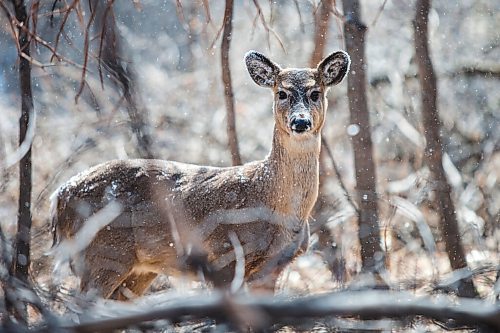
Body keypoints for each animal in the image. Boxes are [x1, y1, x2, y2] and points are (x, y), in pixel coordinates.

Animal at [49, 48, 348, 298]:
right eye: (281, 93)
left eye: (315, 93)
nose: (300, 122)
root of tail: (60, 195)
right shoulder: (225, 255)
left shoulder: (271, 269)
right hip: (102, 252)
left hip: (138, 269)